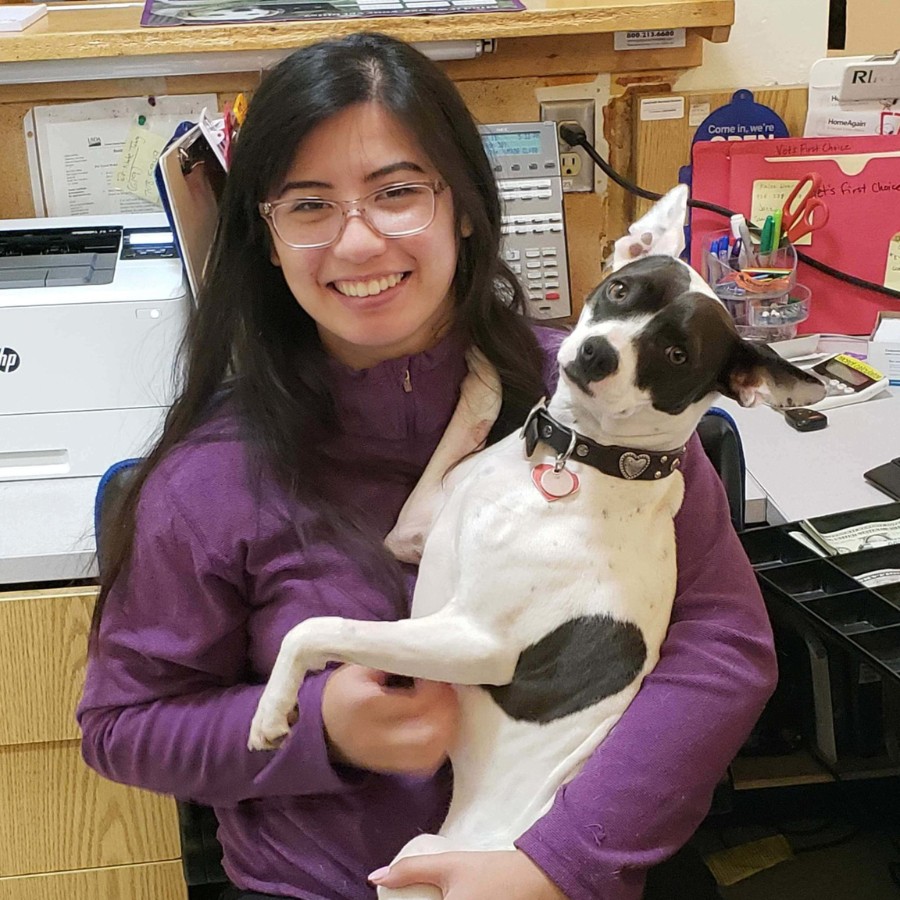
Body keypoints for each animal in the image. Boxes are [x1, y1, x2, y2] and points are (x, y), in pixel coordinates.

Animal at [250, 186, 828, 896]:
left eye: (676, 356)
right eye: (621, 290)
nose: (597, 353)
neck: (572, 460)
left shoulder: (476, 641)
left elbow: (316, 627)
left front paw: (273, 710)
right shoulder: (412, 530)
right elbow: (463, 425)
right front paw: (479, 368)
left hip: (415, 861)